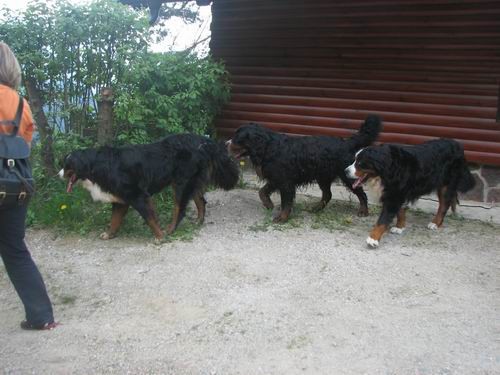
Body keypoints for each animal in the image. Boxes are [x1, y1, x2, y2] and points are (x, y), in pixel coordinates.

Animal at [58, 134, 238, 242]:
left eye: (67, 166)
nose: (58, 174)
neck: (96, 166)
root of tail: (203, 140)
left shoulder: (138, 195)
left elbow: (149, 218)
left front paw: (159, 237)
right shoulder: (121, 199)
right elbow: (114, 220)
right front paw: (109, 234)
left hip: (181, 183)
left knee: (179, 210)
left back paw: (170, 229)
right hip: (191, 182)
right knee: (201, 201)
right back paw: (199, 221)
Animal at [228, 116, 382, 222]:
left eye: (237, 138)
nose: (226, 143)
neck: (267, 147)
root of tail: (346, 143)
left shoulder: (285, 183)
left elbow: (286, 203)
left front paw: (282, 218)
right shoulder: (276, 178)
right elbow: (262, 191)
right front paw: (269, 204)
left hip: (347, 175)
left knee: (361, 194)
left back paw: (363, 211)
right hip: (323, 177)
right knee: (327, 195)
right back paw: (316, 208)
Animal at [346, 140, 474, 248]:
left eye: (360, 163)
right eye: (354, 160)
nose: (345, 171)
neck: (386, 169)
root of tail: (457, 144)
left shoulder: (393, 195)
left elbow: (382, 220)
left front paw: (373, 238)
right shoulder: (399, 193)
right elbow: (400, 211)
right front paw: (400, 227)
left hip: (446, 184)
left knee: (443, 205)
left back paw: (435, 223)